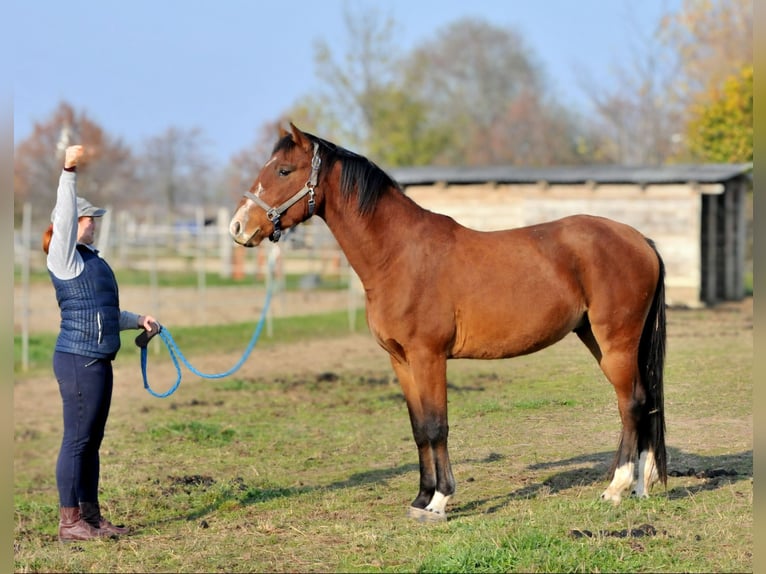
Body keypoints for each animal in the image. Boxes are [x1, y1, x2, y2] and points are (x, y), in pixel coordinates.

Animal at [228, 124, 664, 524]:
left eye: (284, 170)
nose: (238, 227)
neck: (399, 255)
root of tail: (639, 239)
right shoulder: (401, 361)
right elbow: (420, 428)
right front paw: (421, 498)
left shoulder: (429, 356)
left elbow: (438, 426)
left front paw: (439, 502)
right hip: (600, 340)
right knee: (643, 401)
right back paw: (641, 486)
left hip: (616, 342)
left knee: (631, 403)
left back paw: (617, 488)